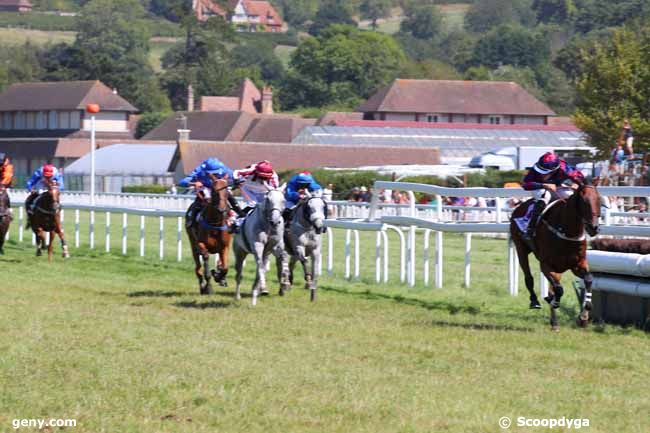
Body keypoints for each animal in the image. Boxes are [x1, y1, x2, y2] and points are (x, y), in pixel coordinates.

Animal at [508, 181, 600, 330]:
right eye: (584, 201)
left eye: (599, 200)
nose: (594, 228)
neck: (567, 231)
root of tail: (520, 206)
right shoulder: (546, 265)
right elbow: (559, 289)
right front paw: (554, 302)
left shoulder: (578, 264)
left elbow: (589, 279)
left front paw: (584, 317)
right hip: (520, 248)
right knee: (529, 277)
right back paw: (535, 301)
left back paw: (554, 321)